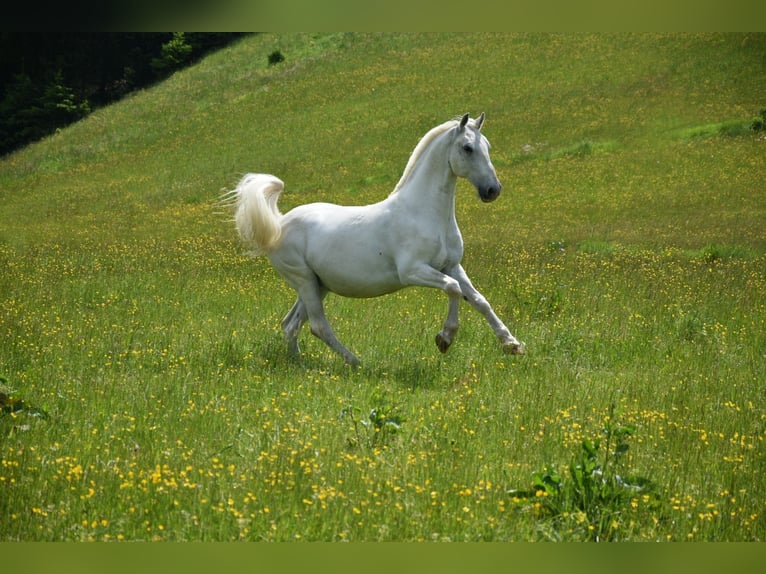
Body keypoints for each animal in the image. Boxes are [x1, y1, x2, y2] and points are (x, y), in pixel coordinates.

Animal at [228, 112, 524, 364]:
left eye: (487, 146)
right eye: (467, 148)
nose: (492, 190)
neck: (424, 213)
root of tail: (278, 224)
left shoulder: (451, 265)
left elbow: (479, 300)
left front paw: (512, 344)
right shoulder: (413, 271)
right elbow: (452, 289)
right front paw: (444, 339)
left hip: (316, 284)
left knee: (291, 325)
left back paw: (300, 364)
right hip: (304, 281)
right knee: (318, 326)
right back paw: (356, 362)